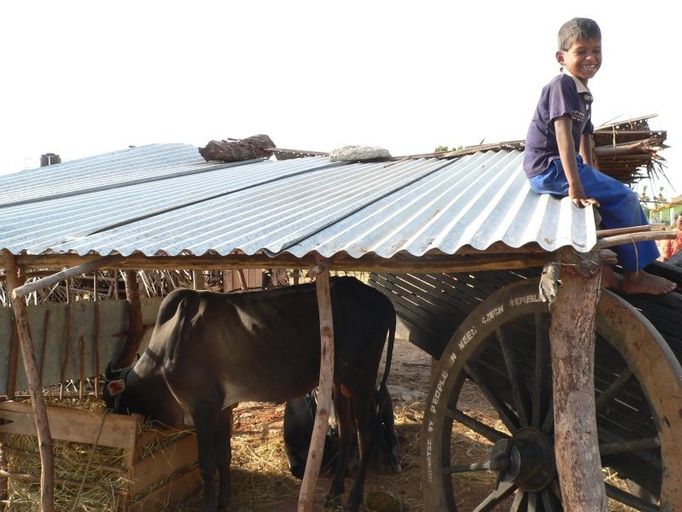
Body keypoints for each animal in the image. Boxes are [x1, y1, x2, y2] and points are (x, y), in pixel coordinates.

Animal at [103, 276, 396, 512]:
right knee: (347, 433)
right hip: (339, 384)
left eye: (110, 402)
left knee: (366, 435)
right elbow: (224, 455)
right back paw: (334, 495)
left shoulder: (201, 407)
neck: (166, 347)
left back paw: (353, 500)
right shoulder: (223, 408)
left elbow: (207, 462)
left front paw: (209, 506)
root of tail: (384, 302)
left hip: (361, 382)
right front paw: (224, 502)